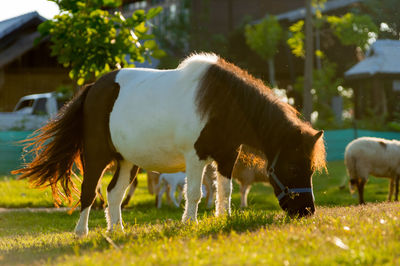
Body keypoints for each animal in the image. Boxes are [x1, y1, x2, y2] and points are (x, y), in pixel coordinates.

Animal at [14, 53, 326, 236]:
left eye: (311, 169)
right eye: (293, 166)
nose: (307, 211)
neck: (220, 103)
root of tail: (92, 88)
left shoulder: (227, 156)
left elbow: (224, 191)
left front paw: (224, 217)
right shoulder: (195, 157)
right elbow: (195, 193)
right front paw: (191, 222)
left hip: (127, 160)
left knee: (114, 193)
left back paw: (117, 230)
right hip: (97, 155)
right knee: (89, 192)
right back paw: (81, 232)